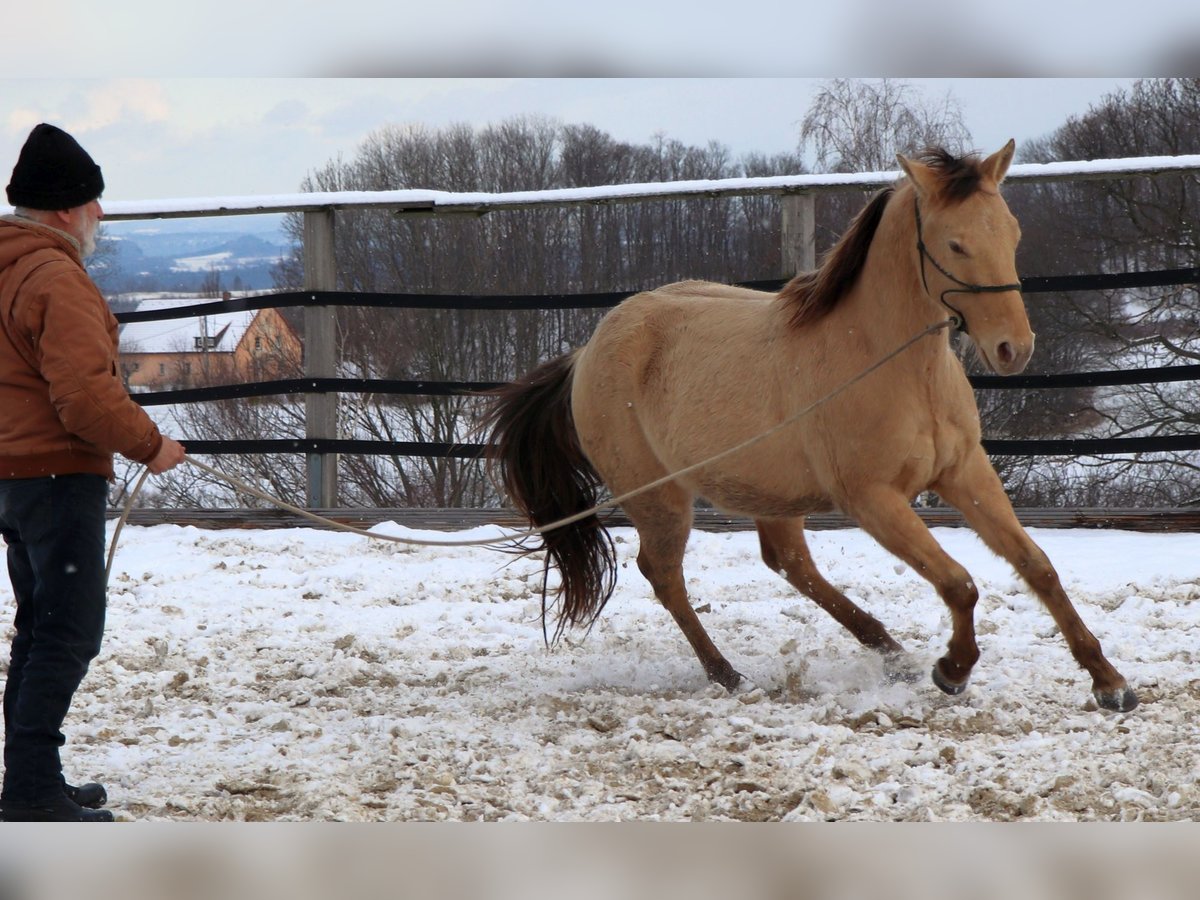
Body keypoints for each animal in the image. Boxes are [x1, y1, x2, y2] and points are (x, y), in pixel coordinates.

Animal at [477, 141, 1132, 715]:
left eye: (1012, 233)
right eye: (956, 243)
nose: (1013, 349)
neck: (894, 366)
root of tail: (587, 351)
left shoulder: (964, 472)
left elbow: (1037, 566)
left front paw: (1110, 683)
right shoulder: (872, 498)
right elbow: (959, 583)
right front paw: (952, 670)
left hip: (770, 491)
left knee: (788, 561)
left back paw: (888, 650)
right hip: (659, 498)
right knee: (665, 576)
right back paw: (729, 675)